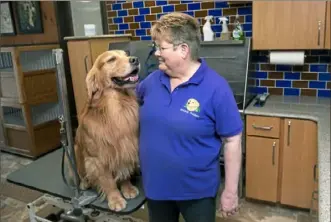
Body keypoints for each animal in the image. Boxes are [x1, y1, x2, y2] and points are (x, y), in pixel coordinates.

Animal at [66, 49, 141, 212]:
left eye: (126, 54)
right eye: (111, 59)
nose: (135, 59)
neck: (115, 108)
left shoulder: (126, 147)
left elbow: (124, 172)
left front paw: (127, 189)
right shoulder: (98, 159)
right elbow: (108, 182)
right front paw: (115, 199)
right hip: (74, 152)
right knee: (80, 174)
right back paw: (85, 183)